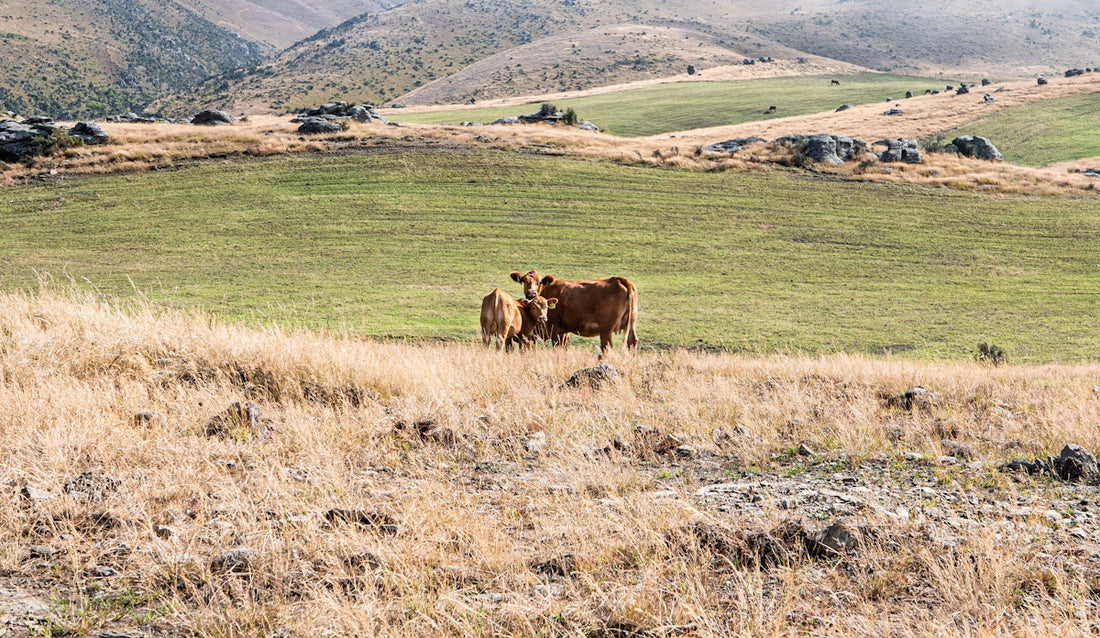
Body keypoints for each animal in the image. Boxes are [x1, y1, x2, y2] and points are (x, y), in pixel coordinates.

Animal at [509, 270, 638, 354]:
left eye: (539, 281)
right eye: (524, 280)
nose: (532, 293)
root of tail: (619, 279)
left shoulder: (555, 329)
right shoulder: (564, 332)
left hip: (606, 329)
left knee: (606, 347)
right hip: (631, 324)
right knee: (632, 342)